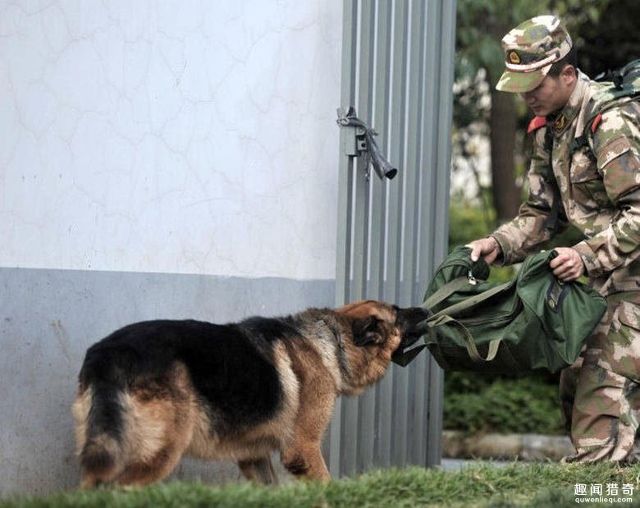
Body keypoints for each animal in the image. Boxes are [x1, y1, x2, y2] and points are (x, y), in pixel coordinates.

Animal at [72, 300, 428, 486]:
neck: (330, 343)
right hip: (160, 452)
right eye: (398, 313)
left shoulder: (253, 455)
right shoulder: (303, 449)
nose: (425, 310)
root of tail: (110, 354)